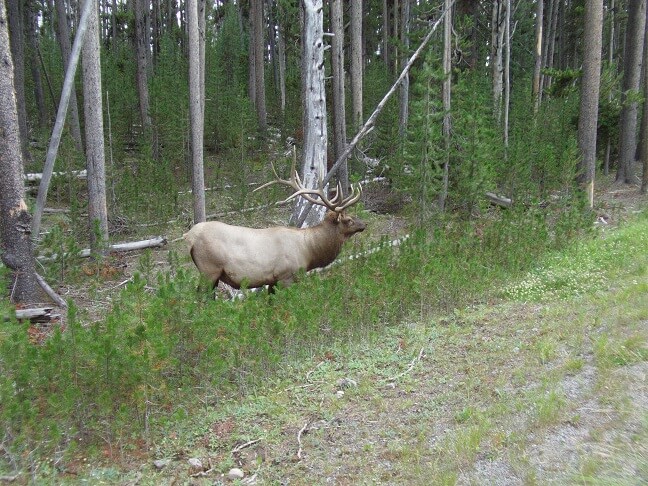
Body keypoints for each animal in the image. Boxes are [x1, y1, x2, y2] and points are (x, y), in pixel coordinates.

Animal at [184, 163, 364, 292]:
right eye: (348, 220)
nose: (364, 224)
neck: (309, 251)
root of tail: (189, 236)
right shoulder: (286, 276)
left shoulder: (272, 281)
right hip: (209, 269)